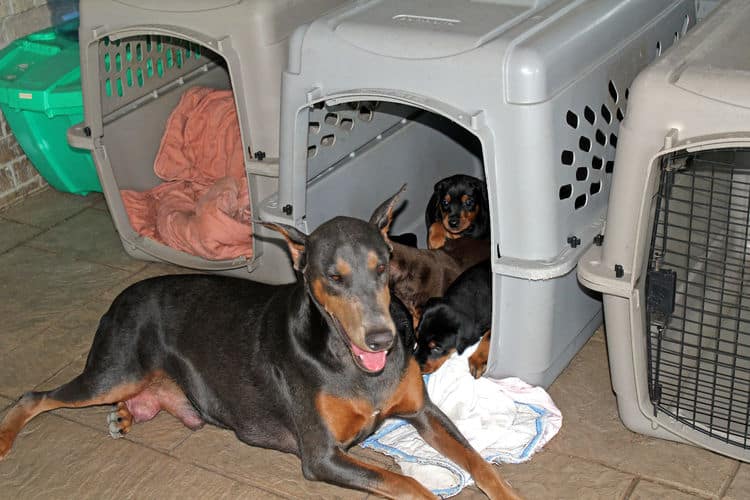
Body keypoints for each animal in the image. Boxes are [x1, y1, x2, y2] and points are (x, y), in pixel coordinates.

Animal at [0, 188, 520, 500]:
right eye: (334, 276)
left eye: (383, 265)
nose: (383, 339)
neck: (346, 360)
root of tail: (121, 296)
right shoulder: (323, 456)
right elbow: (409, 483)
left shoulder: (422, 410)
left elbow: (478, 461)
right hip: (114, 371)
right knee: (34, 396)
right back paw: (9, 438)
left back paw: (128, 414)